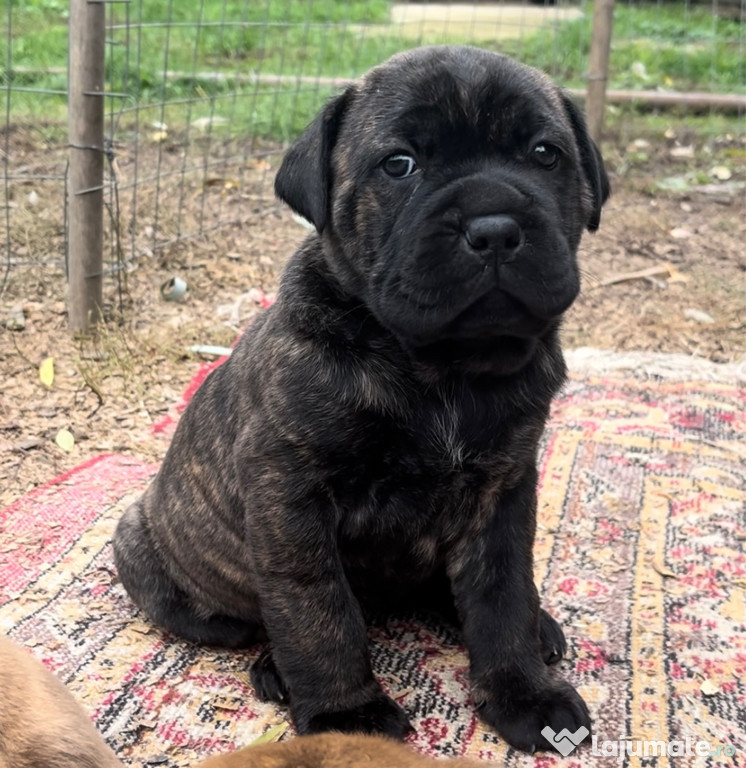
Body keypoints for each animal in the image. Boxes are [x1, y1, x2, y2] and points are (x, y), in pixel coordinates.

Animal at [113, 45, 608, 752]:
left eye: (546, 154)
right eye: (399, 164)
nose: (493, 228)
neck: (443, 367)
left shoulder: (503, 490)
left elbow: (502, 593)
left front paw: (525, 693)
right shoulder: (291, 497)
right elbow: (316, 609)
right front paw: (347, 717)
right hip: (145, 548)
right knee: (255, 622)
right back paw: (277, 669)